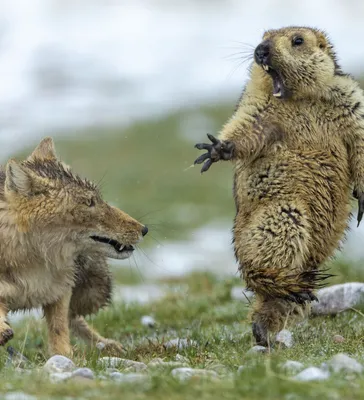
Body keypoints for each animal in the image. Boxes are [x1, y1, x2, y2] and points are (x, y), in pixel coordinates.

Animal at [0, 138, 149, 356]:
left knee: (76, 319)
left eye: (98, 199)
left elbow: (59, 327)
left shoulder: (60, 289)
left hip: (94, 289)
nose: (144, 229)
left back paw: (106, 344)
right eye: (89, 202)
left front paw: (64, 356)